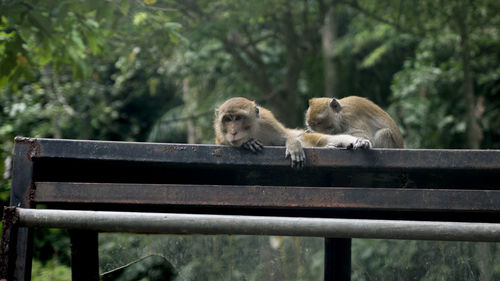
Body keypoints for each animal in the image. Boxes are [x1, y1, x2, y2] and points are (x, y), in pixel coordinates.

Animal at [215, 97, 372, 166]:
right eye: (227, 119)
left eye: (238, 118)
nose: (233, 132)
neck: (252, 130)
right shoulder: (220, 136)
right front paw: (248, 143)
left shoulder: (267, 121)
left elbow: (290, 136)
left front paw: (293, 144)